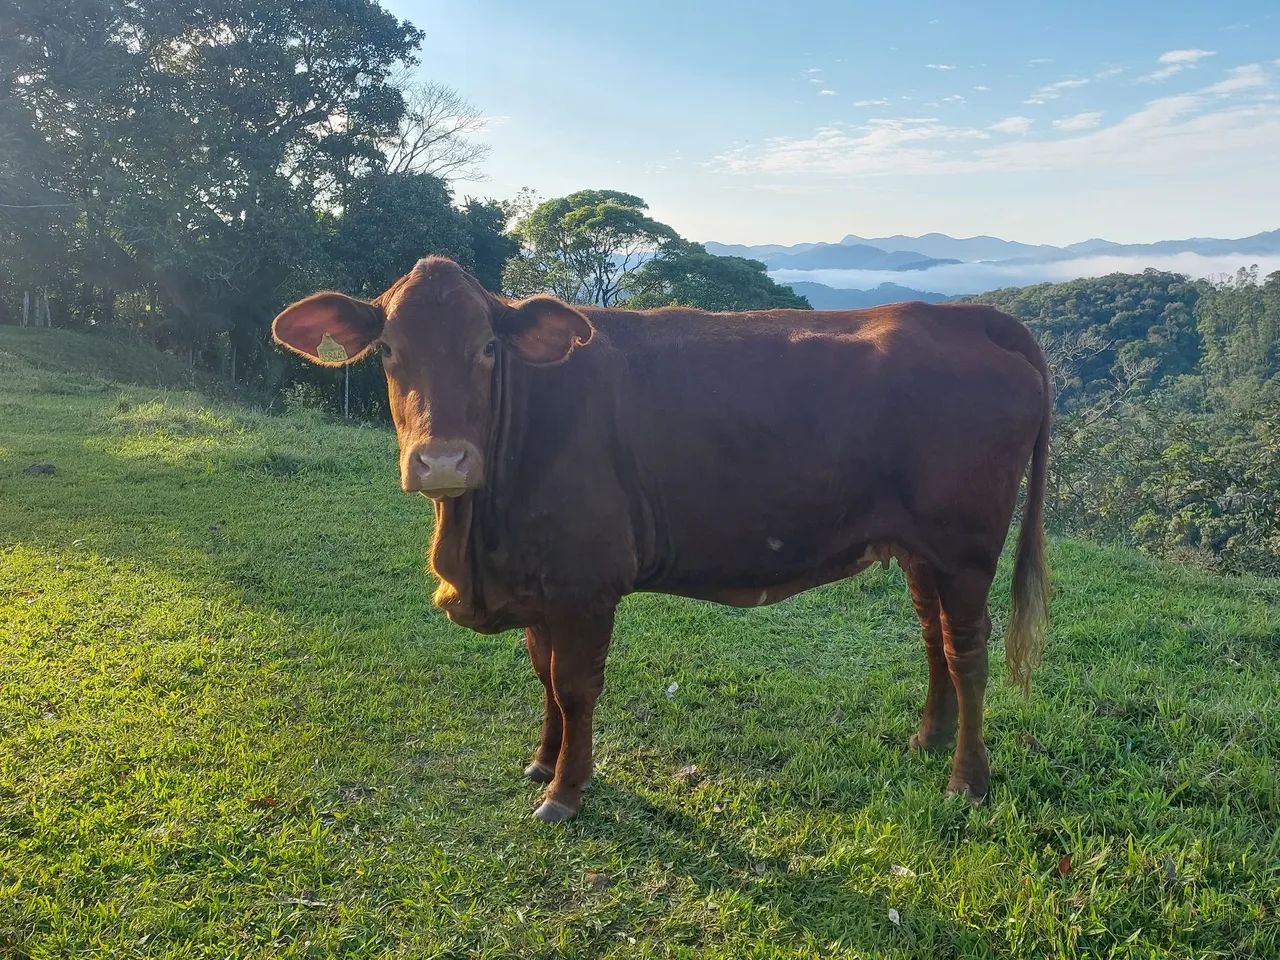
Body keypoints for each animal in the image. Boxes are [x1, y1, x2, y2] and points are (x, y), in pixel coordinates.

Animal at [272, 256, 1051, 823]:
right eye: (389, 350)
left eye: (488, 348)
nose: (441, 462)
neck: (477, 544)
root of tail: (966, 317)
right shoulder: (543, 580)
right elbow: (543, 674)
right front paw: (542, 760)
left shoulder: (585, 582)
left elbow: (575, 685)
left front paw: (565, 790)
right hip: (920, 551)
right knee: (933, 639)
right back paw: (926, 741)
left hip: (966, 549)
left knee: (967, 653)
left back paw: (967, 780)